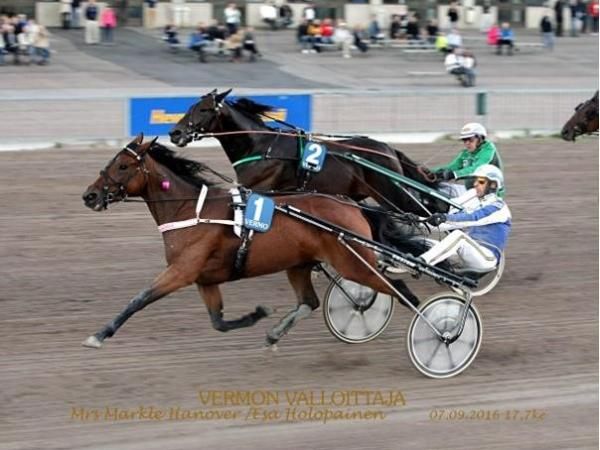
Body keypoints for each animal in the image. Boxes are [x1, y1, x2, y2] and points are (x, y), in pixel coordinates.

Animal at [81, 135, 426, 349]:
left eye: (123, 166)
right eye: (110, 162)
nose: (90, 196)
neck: (192, 211)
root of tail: (351, 205)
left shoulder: (181, 272)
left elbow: (138, 299)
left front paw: (99, 334)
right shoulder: (205, 279)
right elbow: (218, 322)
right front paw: (258, 314)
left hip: (354, 263)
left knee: (401, 291)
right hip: (300, 264)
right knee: (310, 302)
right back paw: (275, 334)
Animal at [168, 89, 447, 215]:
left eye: (204, 110)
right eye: (191, 106)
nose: (175, 133)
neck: (261, 146)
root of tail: (389, 149)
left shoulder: (260, 187)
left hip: (392, 194)